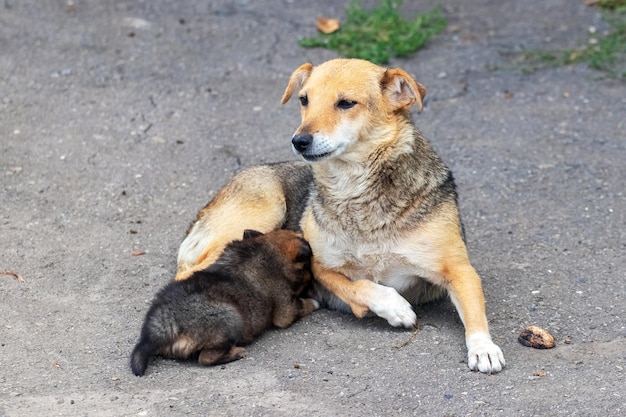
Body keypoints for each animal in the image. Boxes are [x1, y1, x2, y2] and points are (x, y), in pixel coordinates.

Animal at [130, 229, 316, 376]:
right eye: (308, 268)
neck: (267, 249)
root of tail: (166, 322)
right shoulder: (286, 310)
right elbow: (302, 305)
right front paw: (314, 302)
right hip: (230, 318)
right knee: (206, 358)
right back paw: (236, 352)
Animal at [173, 57, 504, 370]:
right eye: (304, 99)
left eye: (346, 103)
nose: (299, 141)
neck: (354, 190)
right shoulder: (322, 267)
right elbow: (362, 286)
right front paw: (394, 307)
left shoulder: (460, 270)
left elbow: (475, 315)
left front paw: (483, 348)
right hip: (265, 210)